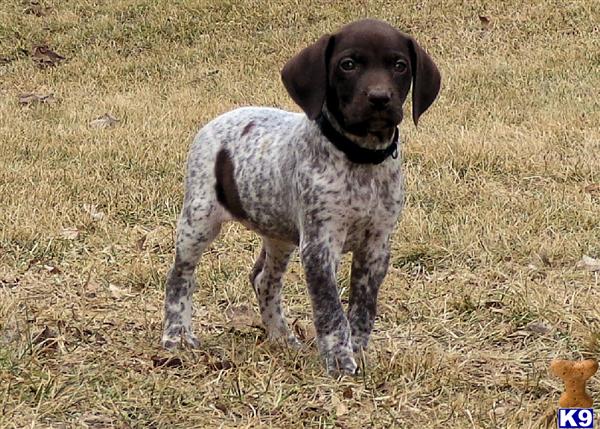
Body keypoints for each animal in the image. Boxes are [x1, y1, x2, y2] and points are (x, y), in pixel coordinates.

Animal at [162, 19, 442, 374]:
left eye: (399, 65)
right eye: (347, 64)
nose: (380, 98)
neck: (360, 158)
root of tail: (219, 119)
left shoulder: (376, 246)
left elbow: (363, 308)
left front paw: (358, 352)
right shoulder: (321, 245)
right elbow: (330, 310)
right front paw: (339, 361)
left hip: (279, 233)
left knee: (264, 279)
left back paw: (281, 336)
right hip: (198, 221)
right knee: (180, 277)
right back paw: (176, 336)